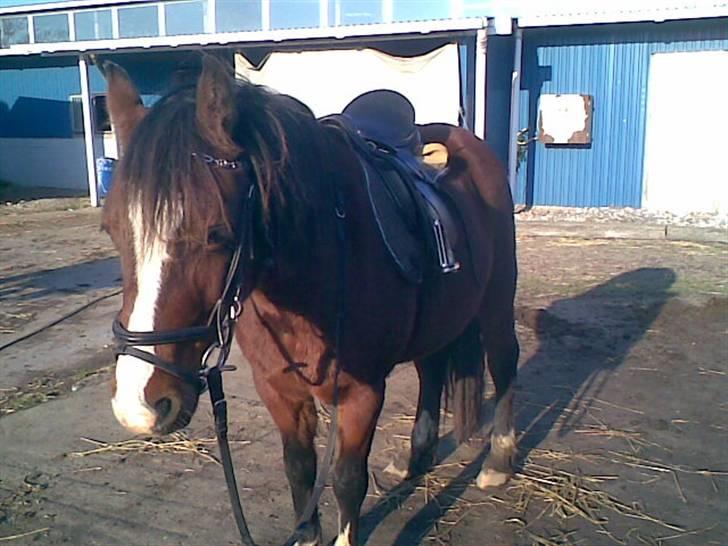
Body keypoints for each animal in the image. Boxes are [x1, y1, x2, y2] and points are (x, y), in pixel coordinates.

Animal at [102, 55, 519, 546]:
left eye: (216, 232)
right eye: (111, 229)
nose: (140, 405)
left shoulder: (361, 394)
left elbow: (347, 479)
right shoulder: (279, 390)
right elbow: (300, 472)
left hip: (497, 302)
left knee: (504, 363)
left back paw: (499, 460)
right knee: (431, 369)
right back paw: (415, 458)